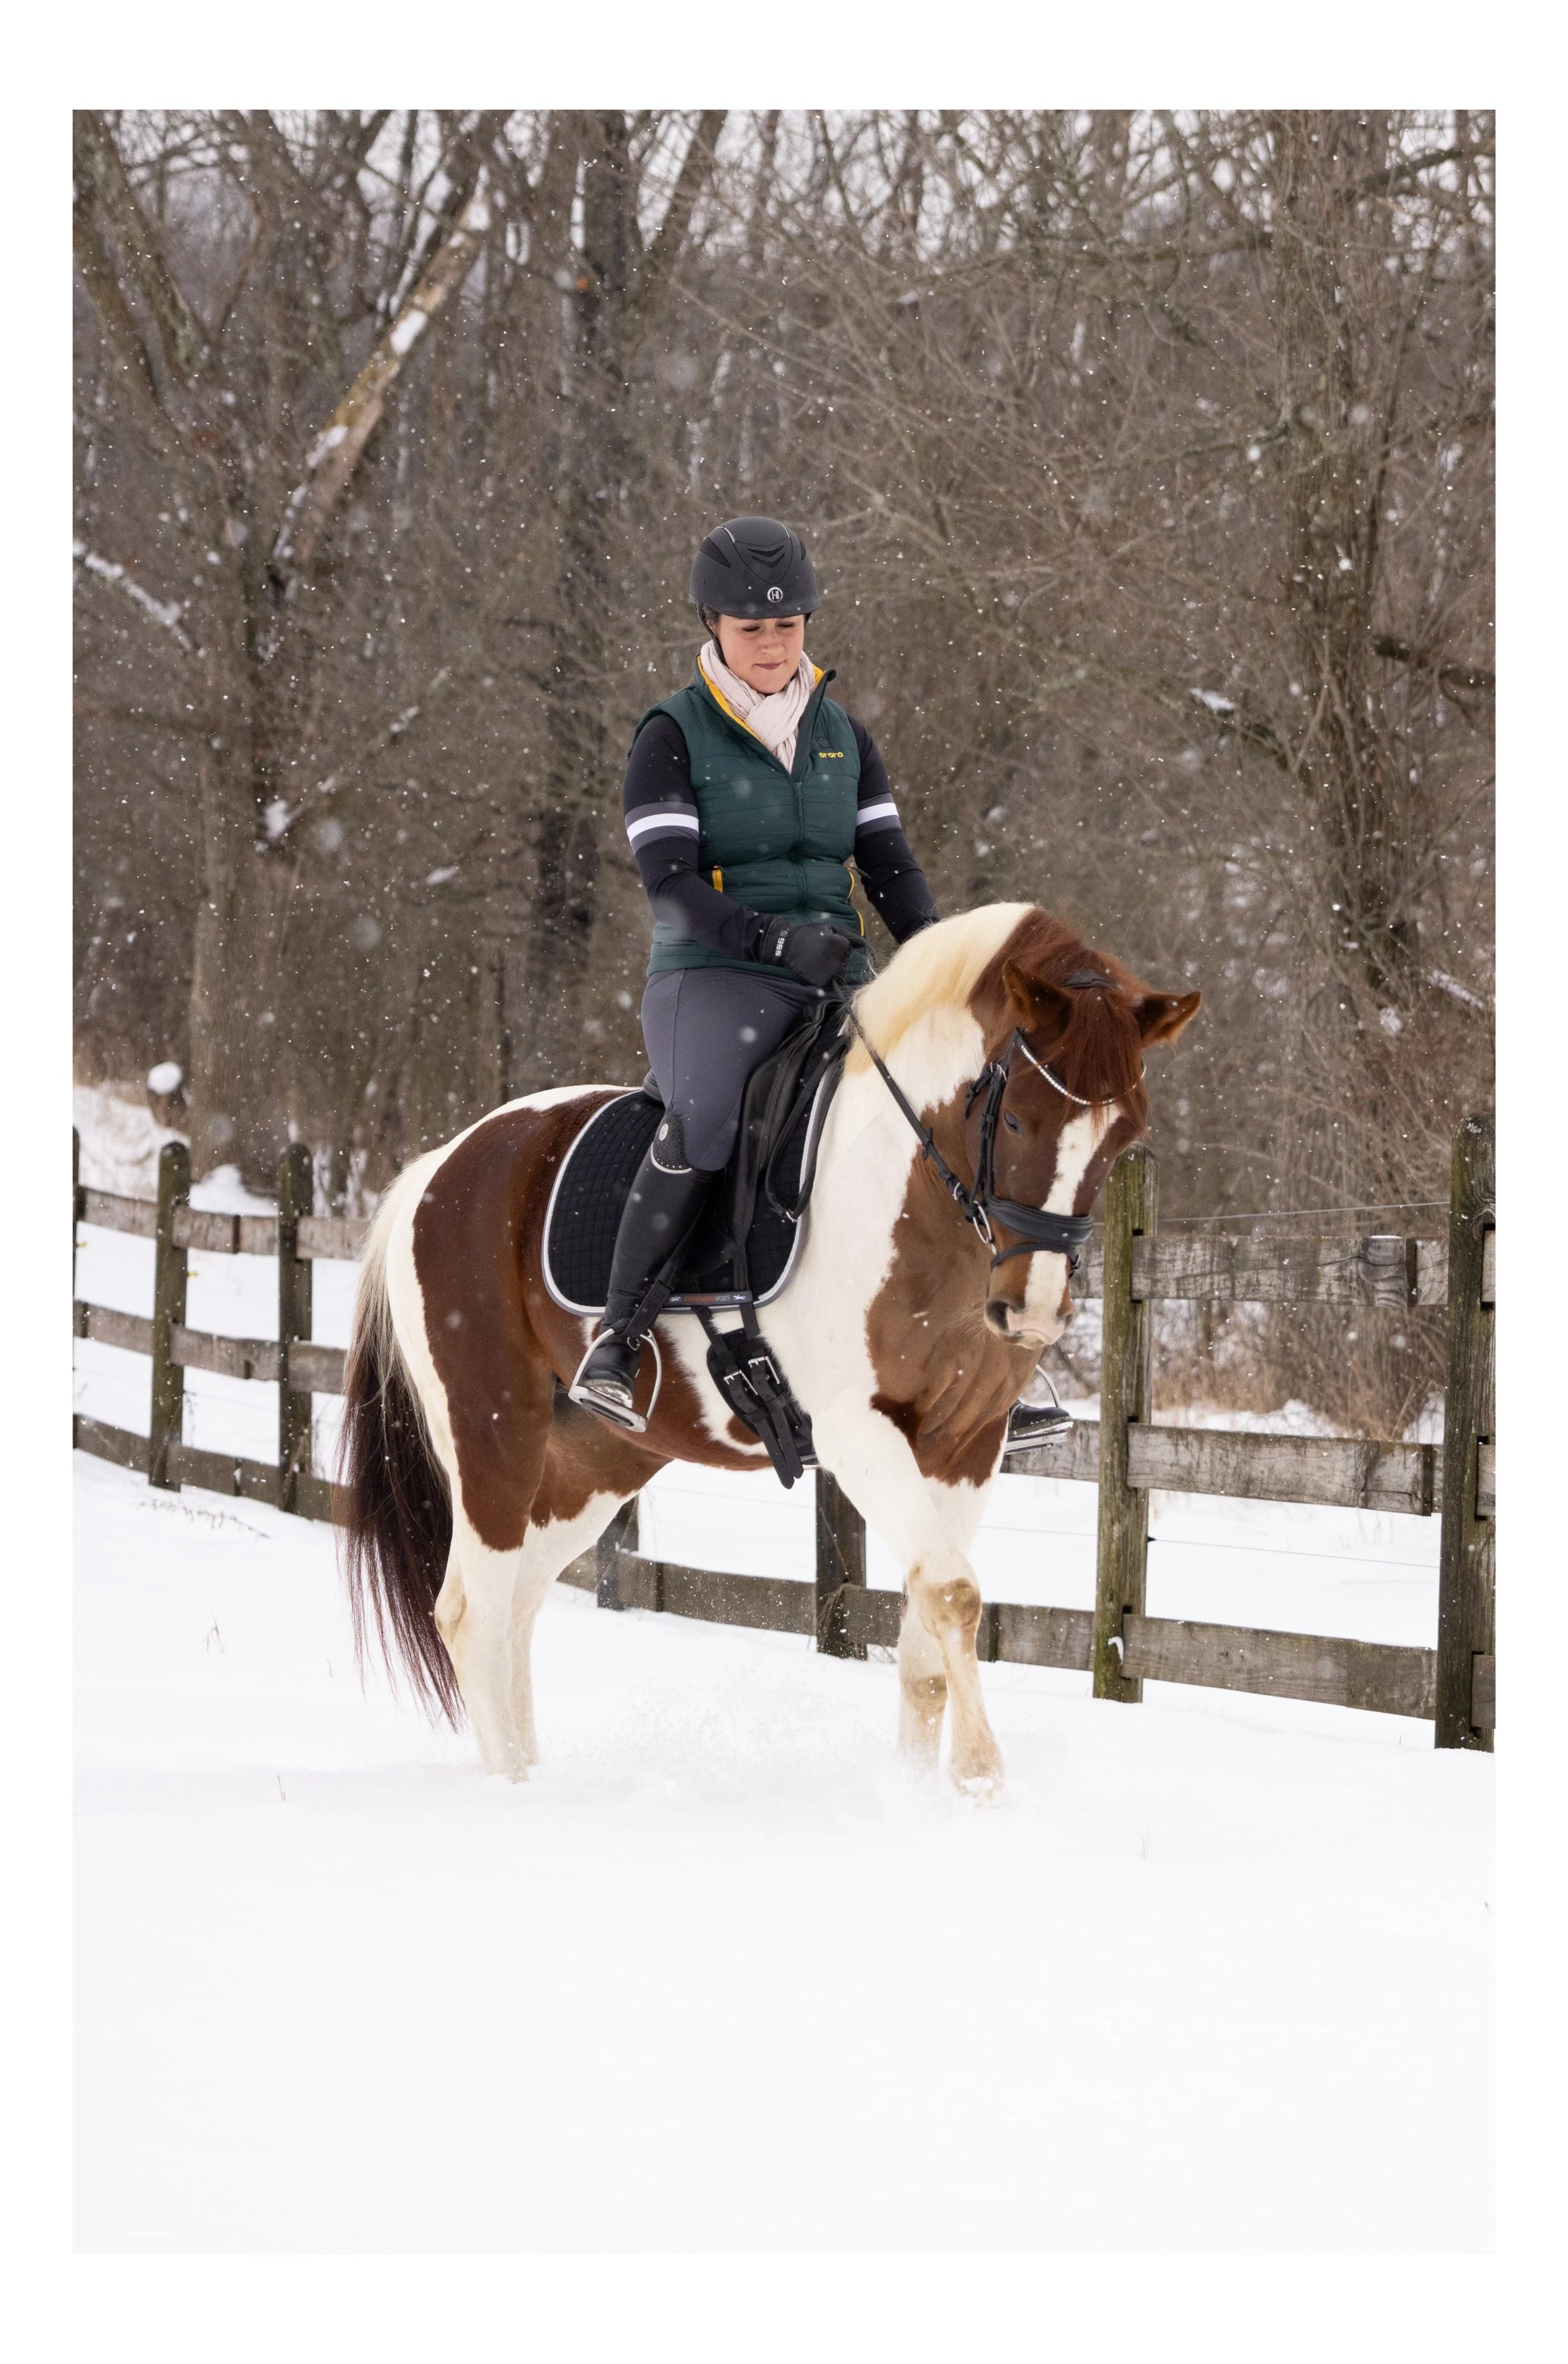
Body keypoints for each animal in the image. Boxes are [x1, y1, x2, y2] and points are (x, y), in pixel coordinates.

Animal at [340, 902, 1199, 1793]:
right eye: (1021, 1116)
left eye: (1124, 1135)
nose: (1028, 1312)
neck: (913, 1191)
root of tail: (439, 1166)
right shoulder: (858, 1432)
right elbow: (953, 1595)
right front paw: (980, 1780)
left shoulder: (966, 1442)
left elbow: (926, 1634)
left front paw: (925, 1793)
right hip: (492, 1433)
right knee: (471, 1613)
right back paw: (514, 1791)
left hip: (591, 1465)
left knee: (516, 1603)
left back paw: (532, 1776)